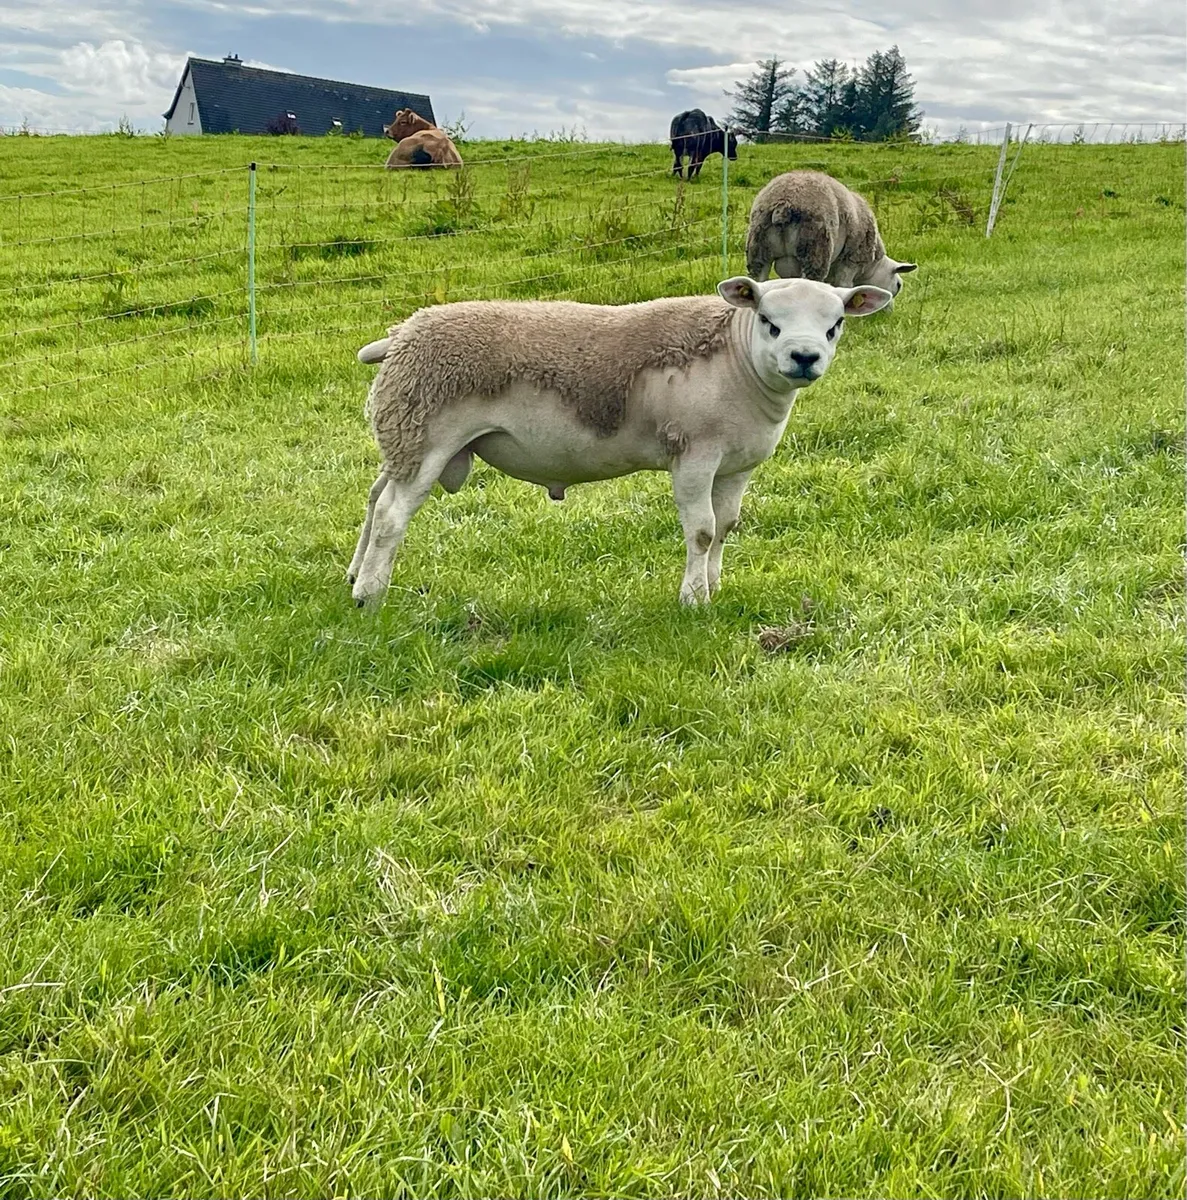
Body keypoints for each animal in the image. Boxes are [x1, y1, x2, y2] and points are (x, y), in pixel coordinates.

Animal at [348, 277, 892, 608]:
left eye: (835, 325)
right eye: (768, 321)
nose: (804, 357)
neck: (736, 363)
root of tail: (401, 334)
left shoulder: (737, 465)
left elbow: (726, 527)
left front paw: (713, 586)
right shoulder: (694, 455)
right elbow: (701, 531)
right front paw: (692, 599)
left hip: (405, 435)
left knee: (375, 499)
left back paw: (354, 575)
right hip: (426, 433)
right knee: (393, 514)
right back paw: (370, 593)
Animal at [746, 170, 916, 296]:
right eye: (898, 286)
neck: (871, 265)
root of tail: (784, 203)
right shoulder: (851, 260)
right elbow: (845, 286)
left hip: (758, 249)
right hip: (816, 250)